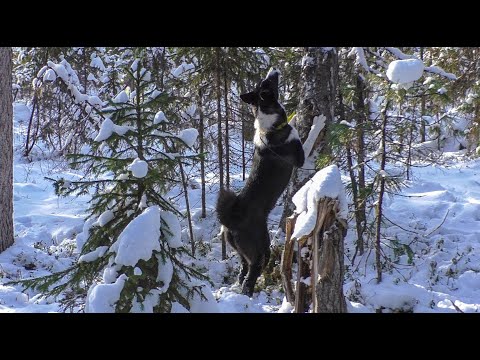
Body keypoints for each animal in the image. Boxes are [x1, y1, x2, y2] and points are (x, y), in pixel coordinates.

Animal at [217, 67, 304, 296]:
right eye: (268, 83)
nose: (273, 69)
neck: (271, 127)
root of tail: (232, 220)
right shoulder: (299, 158)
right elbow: (302, 135)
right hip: (260, 249)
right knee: (251, 274)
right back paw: (248, 294)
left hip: (239, 250)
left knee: (242, 269)